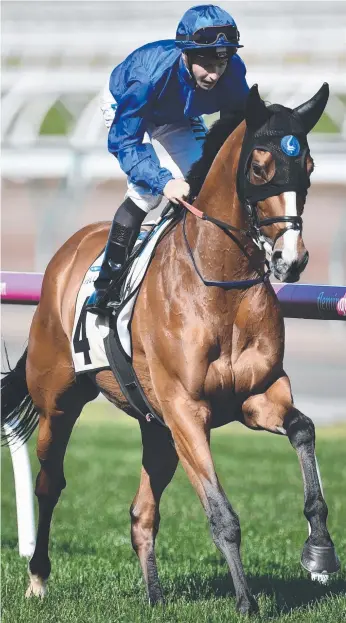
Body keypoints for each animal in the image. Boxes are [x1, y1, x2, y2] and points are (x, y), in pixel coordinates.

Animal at [1, 85, 340, 616]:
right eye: (258, 167)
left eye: (307, 165)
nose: (293, 259)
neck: (221, 286)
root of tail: (67, 253)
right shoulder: (187, 410)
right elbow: (222, 515)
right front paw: (247, 603)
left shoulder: (258, 395)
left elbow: (303, 429)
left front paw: (320, 552)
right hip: (59, 399)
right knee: (49, 484)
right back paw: (37, 577)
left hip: (155, 427)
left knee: (142, 513)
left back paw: (155, 597)